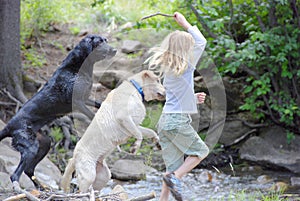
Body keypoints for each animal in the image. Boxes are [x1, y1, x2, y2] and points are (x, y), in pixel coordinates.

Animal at [0, 34, 116, 187]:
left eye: (106, 40)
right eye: (99, 43)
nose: (114, 50)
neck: (77, 67)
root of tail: (8, 126)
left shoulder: (85, 98)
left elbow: (98, 104)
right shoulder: (78, 102)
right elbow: (92, 115)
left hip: (44, 143)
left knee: (28, 170)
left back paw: (42, 188)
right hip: (30, 147)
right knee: (15, 175)